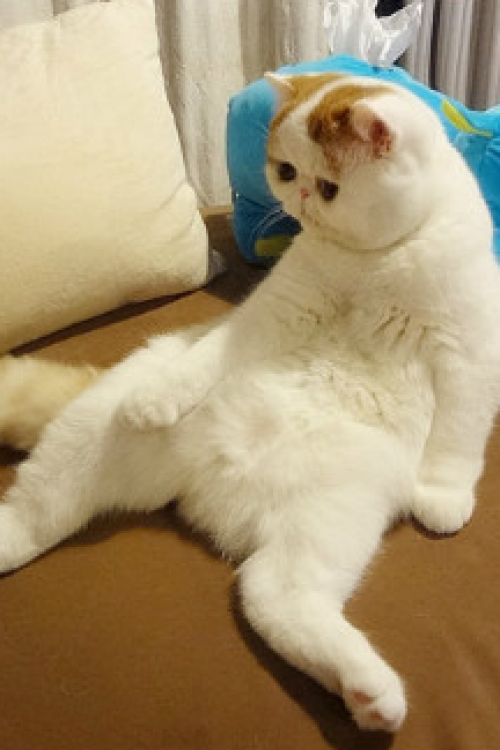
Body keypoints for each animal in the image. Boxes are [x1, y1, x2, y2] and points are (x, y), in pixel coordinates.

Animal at [1, 71, 500, 733]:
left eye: (329, 187)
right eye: (286, 171)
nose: (301, 201)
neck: (375, 261)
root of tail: (212, 485)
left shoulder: (471, 358)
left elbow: (457, 440)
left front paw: (442, 498)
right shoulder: (274, 313)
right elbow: (211, 354)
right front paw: (163, 395)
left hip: (334, 517)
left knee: (270, 594)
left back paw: (369, 695)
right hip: (88, 438)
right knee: (36, 513)